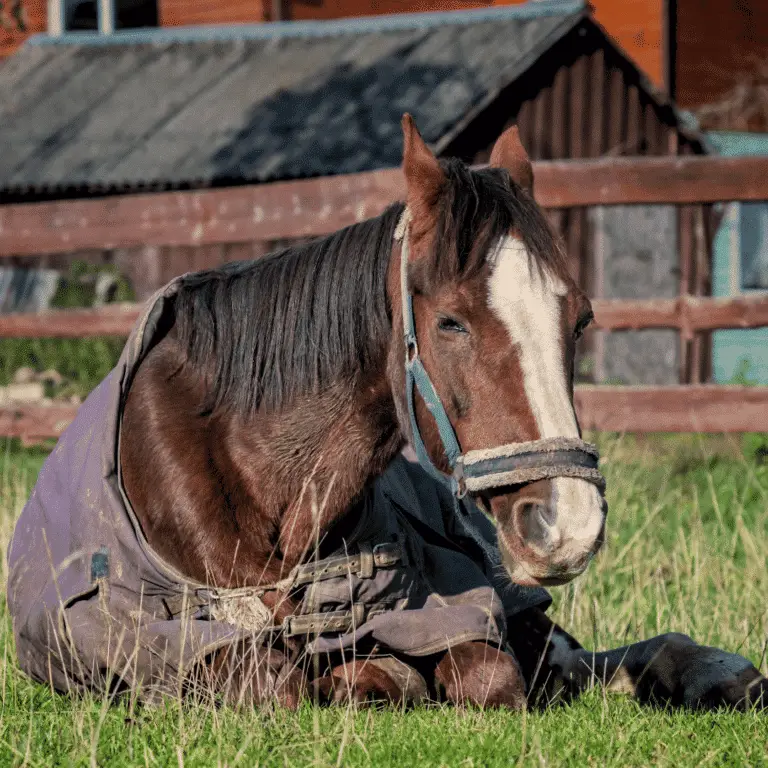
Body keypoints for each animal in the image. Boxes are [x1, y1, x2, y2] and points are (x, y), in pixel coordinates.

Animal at [10, 112, 760, 708]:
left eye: (580, 319)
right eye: (451, 322)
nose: (566, 524)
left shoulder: (462, 606)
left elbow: (490, 673)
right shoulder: (176, 641)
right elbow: (281, 682)